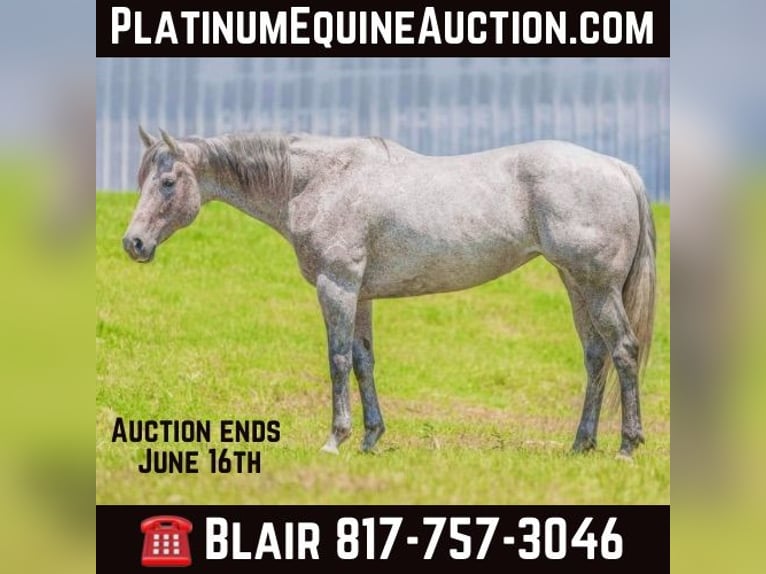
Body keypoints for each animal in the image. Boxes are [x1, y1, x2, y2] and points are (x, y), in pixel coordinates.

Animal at [123, 126, 656, 458]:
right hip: (576, 284)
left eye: (168, 182)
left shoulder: (336, 286)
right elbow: (363, 361)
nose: (134, 243)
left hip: (597, 287)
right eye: (142, 177)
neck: (318, 180)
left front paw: (335, 439)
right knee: (596, 356)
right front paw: (370, 438)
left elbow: (338, 360)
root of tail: (618, 168)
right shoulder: (360, 295)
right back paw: (581, 444)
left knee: (624, 351)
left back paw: (627, 446)